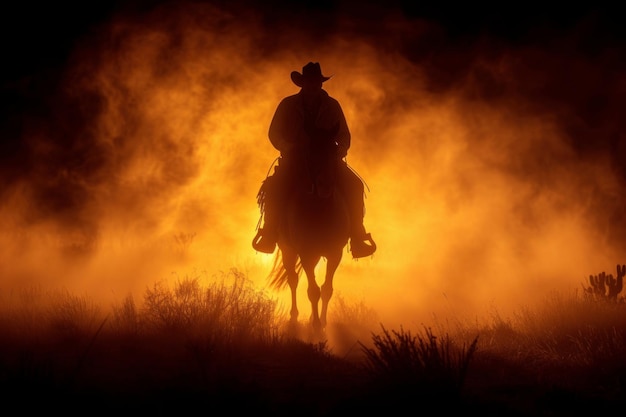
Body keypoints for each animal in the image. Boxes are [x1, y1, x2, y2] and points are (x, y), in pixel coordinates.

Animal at [264, 138, 348, 334]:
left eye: (334, 151)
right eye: (310, 154)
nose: (325, 184)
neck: (320, 209)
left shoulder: (335, 253)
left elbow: (326, 289)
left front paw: (322, 323)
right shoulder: (306, 254)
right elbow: (313, 291)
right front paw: (316, 328)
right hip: (287, 250)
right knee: (293, 280)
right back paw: (293, 319)